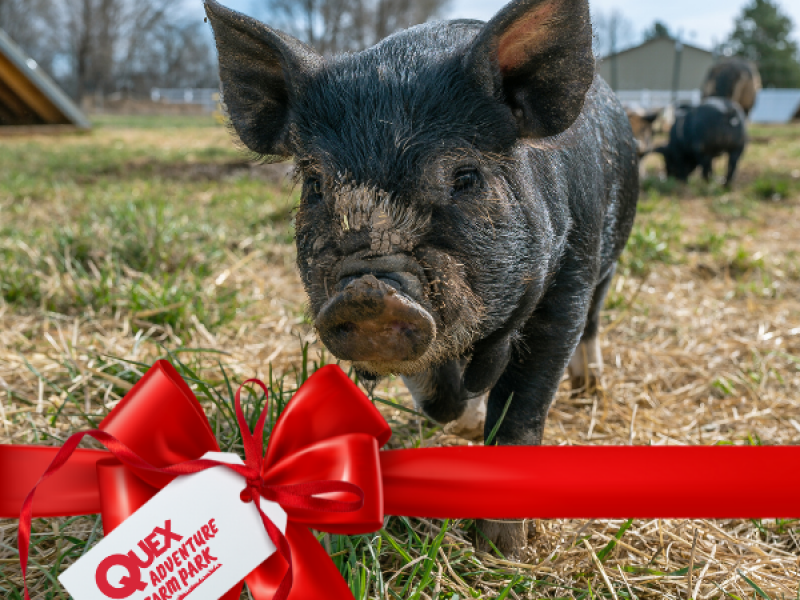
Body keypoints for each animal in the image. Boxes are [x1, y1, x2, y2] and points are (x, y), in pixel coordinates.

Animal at [204, 0, 638, 555]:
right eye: (316, 183)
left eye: (465, 177)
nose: (369, 291)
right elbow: (436, 391)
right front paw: (460, 420)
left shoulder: (568, 284)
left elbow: (523, 409)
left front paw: (502, 550)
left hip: (610, 257)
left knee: (595, 321)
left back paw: (590, 385)